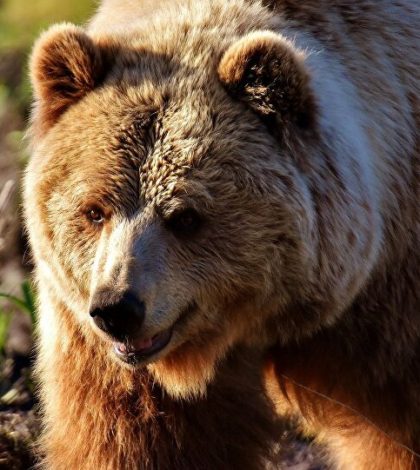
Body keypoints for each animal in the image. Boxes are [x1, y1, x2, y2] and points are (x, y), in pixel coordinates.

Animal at [25, 0, 420, 470]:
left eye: (185, 217)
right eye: (94, 210)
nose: (117, 309)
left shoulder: (390, 305)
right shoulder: (98, 345)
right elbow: (139, 438)